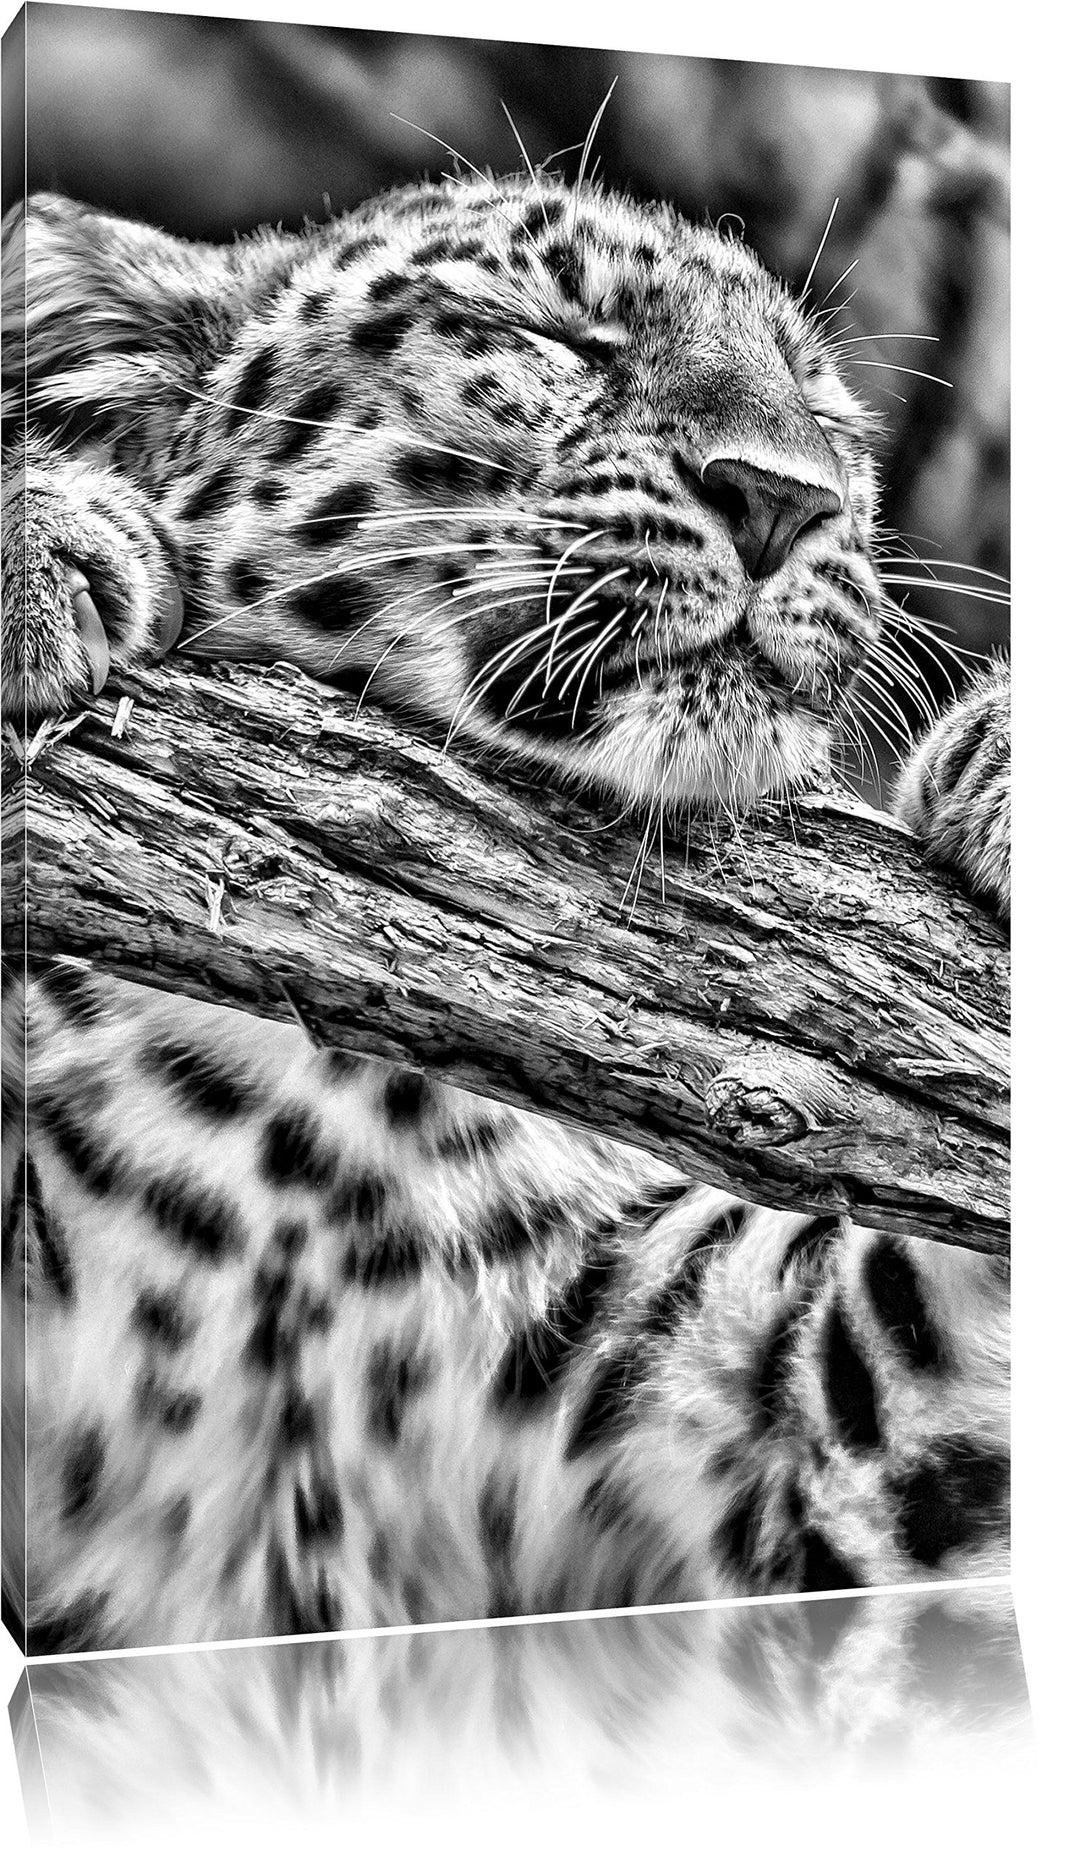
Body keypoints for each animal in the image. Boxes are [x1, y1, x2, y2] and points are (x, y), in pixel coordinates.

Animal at [0, 171, 1010, 1656]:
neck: (334, 1106)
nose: (782, 499)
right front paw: (42, 546)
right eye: (552, 335)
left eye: (826, 418)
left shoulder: (740, 1449)